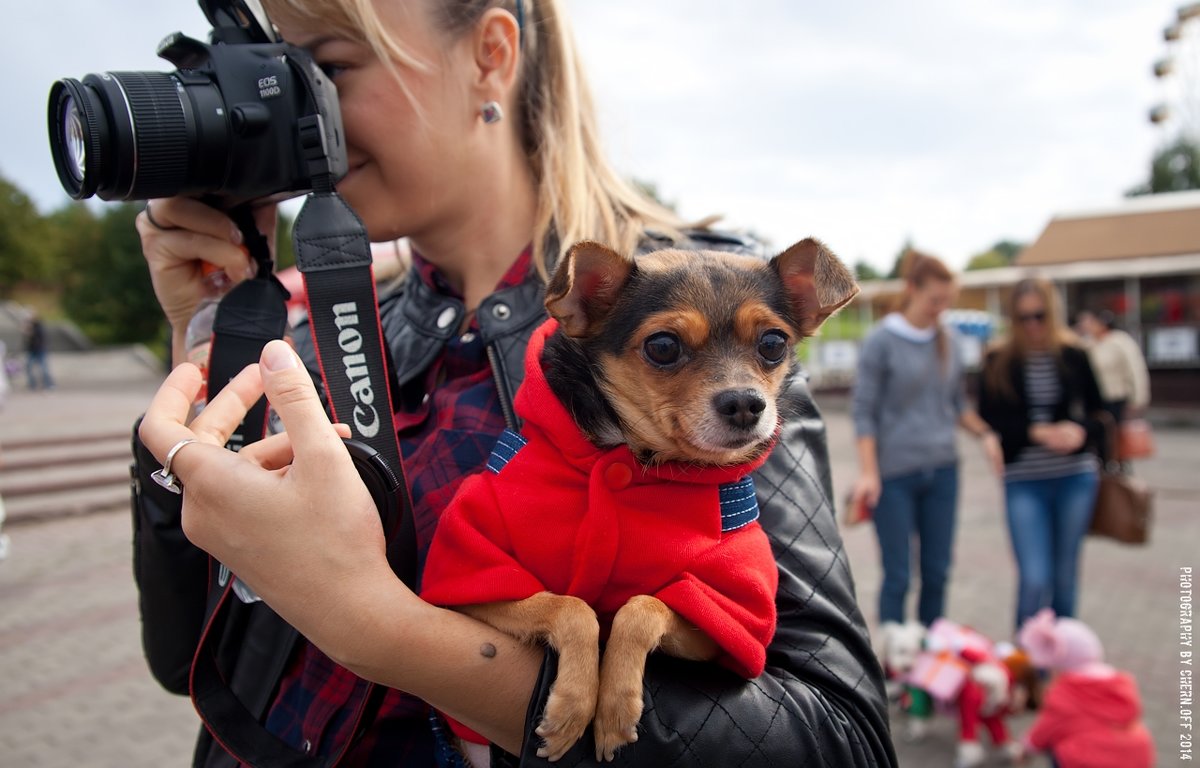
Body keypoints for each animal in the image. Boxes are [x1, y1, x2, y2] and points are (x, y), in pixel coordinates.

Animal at [417, 238, 859, 763]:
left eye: (773, 344)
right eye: (663, 347)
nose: (746, 404)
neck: (635, 456)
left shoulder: (720, 620)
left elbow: (640, 607)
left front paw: (613, 708)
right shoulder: (476, 583)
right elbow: (573, 608)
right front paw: (572, 706)